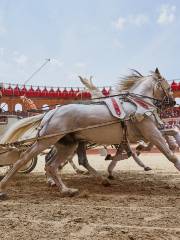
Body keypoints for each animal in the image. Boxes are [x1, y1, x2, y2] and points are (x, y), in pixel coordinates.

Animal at [0, 68, 179, 199]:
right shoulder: (150, 132)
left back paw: (67, 188)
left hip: (68, 144)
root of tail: (51, 113)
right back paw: (4, 186)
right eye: (169, 87)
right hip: (46, 141)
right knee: (24, 159)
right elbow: (169, 154)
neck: (137, 105)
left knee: (53, 164)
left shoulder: (139, 135)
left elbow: (172, 132)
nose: (172, 102)